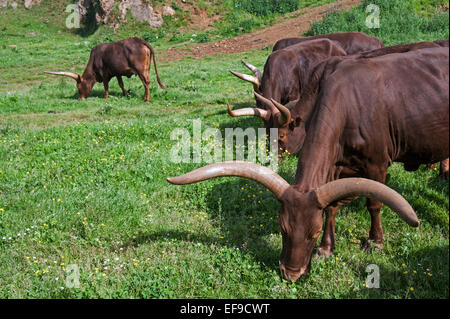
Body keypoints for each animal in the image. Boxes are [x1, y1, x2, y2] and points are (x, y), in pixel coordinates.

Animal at [168, 46, 446, 282]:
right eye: (282, 229)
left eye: (312, 233)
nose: (291, 274)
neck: (350, 104)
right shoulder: (336, 168)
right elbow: (331, 207)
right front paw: (326, 248)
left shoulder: (377, 164)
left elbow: (374, 204)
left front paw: (375, 241)